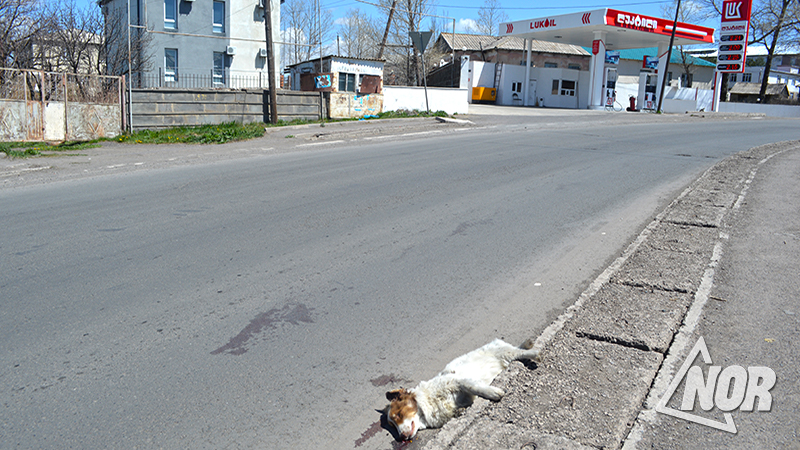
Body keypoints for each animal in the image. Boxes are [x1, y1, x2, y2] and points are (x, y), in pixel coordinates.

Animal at [384, 340, 540, 442]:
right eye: (392, 426)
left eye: (398, 415)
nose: (401, 438)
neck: (427, 406)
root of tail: (497, 341)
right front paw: (460, 411)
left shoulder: (457, 381)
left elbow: (475, 387)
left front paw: (493, 392)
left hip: (506, 353)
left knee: (521, 352)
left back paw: (534, 351)